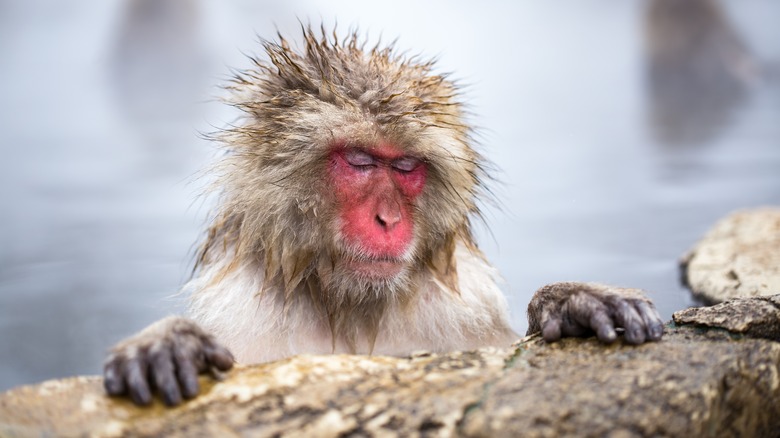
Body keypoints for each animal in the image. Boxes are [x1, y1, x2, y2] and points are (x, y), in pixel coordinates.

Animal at [103, 27, 664, 406]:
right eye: (360, 161)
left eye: (407, 167)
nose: (388, 220)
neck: (350, 308)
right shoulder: (245, 316)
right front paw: (168, 343)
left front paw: (569, 302)